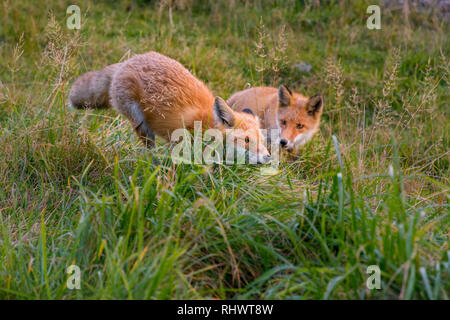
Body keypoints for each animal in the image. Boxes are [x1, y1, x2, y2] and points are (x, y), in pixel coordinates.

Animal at [67, 52, 270, 165]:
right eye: (246, 140)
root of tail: (129, 61)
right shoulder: (181, 144)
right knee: (150, 150)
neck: (205, 125)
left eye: (263, 141)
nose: (268, 158)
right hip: (141, 123)